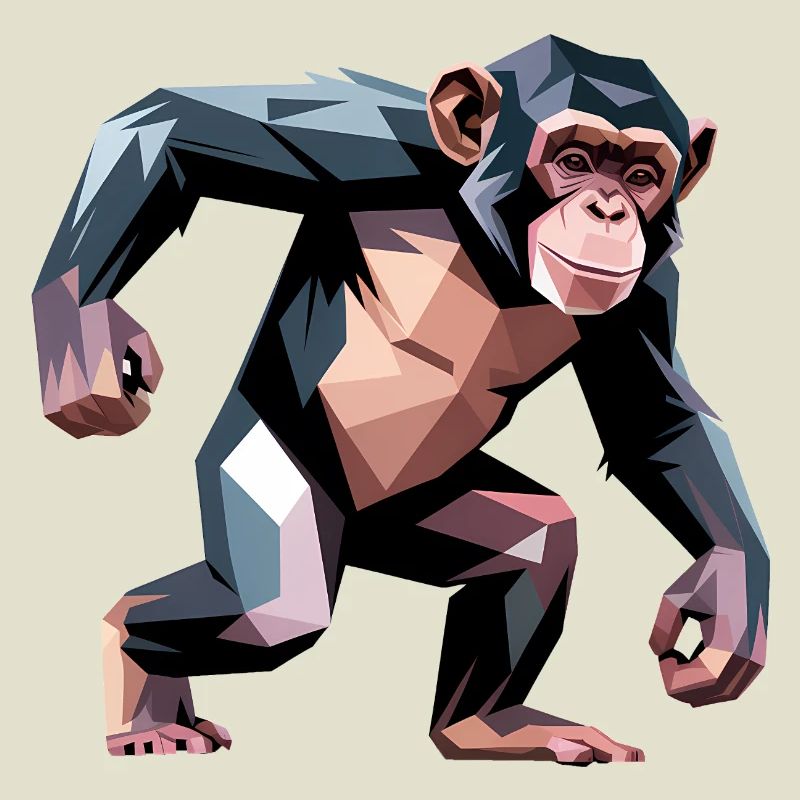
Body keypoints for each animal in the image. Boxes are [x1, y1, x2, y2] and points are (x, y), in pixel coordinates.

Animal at [32, 35, 769, 763]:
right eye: (574, 161)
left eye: (642, 177)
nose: (610, 211)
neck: (494, 252)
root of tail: (360, 534)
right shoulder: (377, 143)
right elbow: (177, 131)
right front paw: (86, 338)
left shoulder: (649, 285)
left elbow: (656, 421)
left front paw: (726, 601)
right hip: (274, 469)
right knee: (271, 614)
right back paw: (137, 678)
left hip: (425, 514)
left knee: (540, 541)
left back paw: (485, 726)